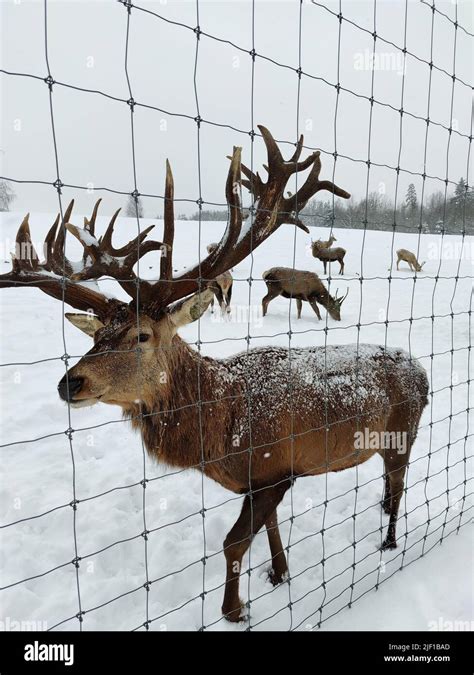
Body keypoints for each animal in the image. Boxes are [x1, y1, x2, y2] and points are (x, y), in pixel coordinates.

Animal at [0, 125, 430, 624]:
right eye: (96, 336)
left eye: (142, 335)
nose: (70, 382)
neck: (224, 429)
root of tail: (423, 371)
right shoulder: (262, 480)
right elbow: (269, 529)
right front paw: (279, 575)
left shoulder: (276, 469)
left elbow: (233, 543)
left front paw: (234, 610)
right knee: (388, 485)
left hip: (405, 429)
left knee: (400, 484)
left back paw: (389, 541)